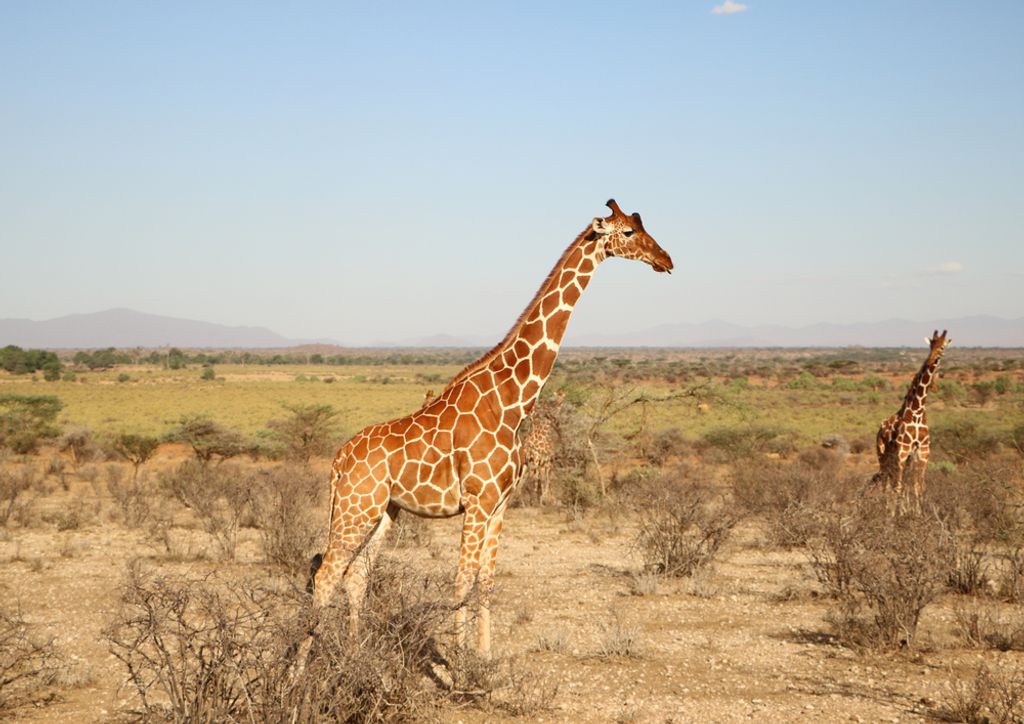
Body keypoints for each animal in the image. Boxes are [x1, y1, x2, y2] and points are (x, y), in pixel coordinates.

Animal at [307, 200, 672, 655]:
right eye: (627, 233)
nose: (666, 260)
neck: (513, 400)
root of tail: (338, 459)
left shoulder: (500, 505)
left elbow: (486, 580)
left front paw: (484, 655)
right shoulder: (477, 502)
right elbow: (461, 580)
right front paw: (456, 661)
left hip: (384, 510)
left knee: (355, 574)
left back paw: (355, 655)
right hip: (356, 507)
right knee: (325, 575)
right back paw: (302, 666)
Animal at [873, 329, 951, 513]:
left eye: (942, 347)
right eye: (930, 345)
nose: (930, 360)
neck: (917, 411)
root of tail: (879, 429)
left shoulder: (922, 453)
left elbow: (918, 487)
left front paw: (917, 513)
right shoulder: (902, 452)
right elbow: (899, 486)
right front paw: (895, 515)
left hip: (901, 459)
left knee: (894, 482)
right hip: (883, 455)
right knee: (886, 483)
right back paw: (885, 510)